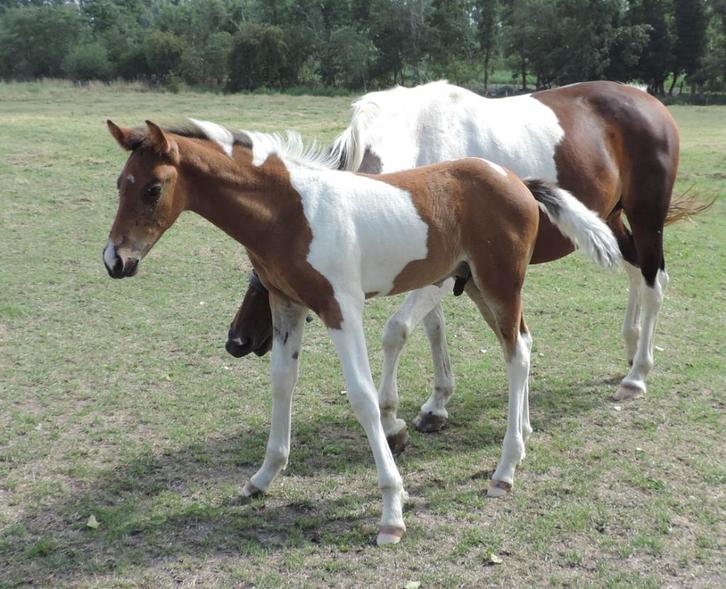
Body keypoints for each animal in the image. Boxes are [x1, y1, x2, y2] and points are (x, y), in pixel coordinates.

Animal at [103, 118, 620, 545]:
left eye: (152, 189)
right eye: (120, 184)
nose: (115, 261)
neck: (290, 212)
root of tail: (518, 182)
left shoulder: (341, 308)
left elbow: (364, 397)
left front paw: (392, 510)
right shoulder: (288, 306)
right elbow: (282, 384)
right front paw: (264, 477)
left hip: (500, 284)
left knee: (516, 355)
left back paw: (505, 468)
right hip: (475, 285)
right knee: (522, 346)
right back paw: (524, 436)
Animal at [226, 80, 704, 452]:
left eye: (267, 271)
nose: (237, 340)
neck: (416, 144)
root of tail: (646, 98)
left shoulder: (443, 275)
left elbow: (397, 331)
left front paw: (392, 419)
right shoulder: (434, 270)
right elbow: (433, 330)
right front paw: (437, 404)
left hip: (646, 216)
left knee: (653, 281)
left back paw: (637, 375)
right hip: (611, 218)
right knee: (635, 273)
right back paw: (631, 347)